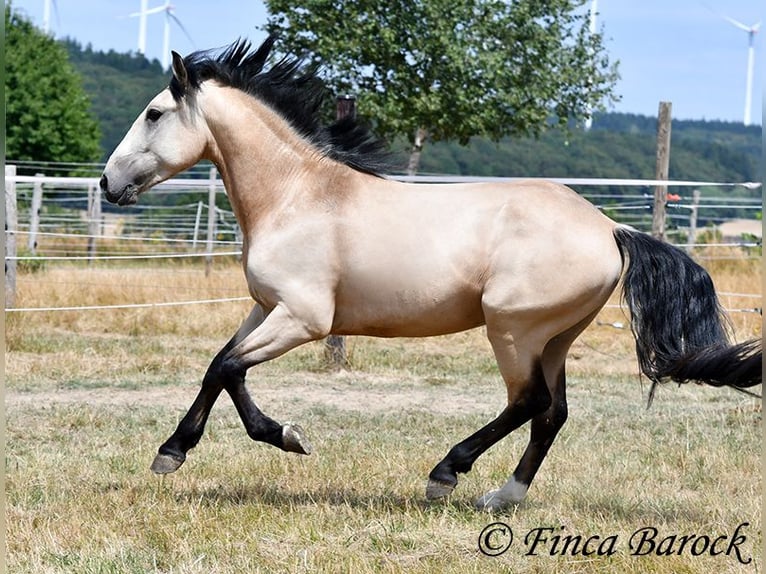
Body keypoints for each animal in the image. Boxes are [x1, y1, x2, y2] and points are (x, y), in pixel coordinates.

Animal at [100, 37, 762, 510]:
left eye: (154, 113)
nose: (108, 183)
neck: (297, 196)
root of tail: (608, 229)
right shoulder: (267, 308)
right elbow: (221, 365)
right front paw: (192, 448)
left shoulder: (304, 319)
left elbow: (227, 367)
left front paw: (263, 440)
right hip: (554, 337)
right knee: (552, 413)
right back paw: (503, 496)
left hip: (512, 329)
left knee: (527, 402)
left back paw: (446, 474)